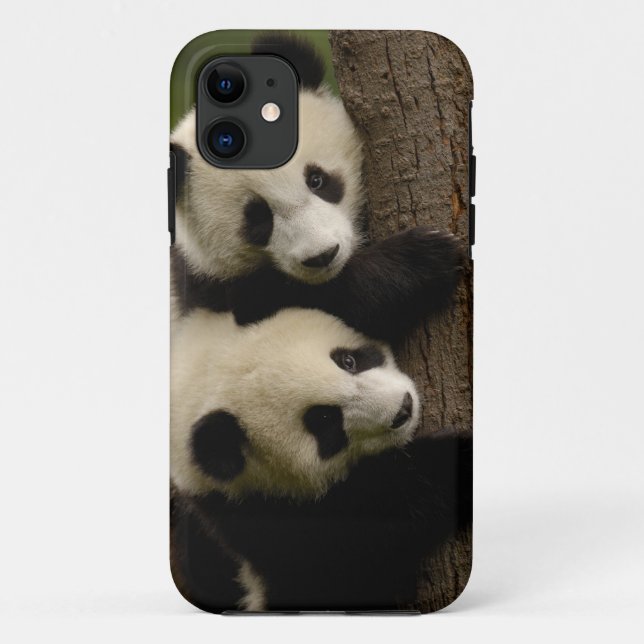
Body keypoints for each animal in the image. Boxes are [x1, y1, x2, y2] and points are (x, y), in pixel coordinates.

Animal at [170, 33, 462, 343]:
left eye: (317, 180)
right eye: (258, 219)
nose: (324, 255)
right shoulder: (215, 289)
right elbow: (311, 297)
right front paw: (422, 259)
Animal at [170, 307, 471, 612]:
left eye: (348, 360)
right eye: (325, 420)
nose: (403, 409)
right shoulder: (263, 523)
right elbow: (347, 551)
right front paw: (453, 460)